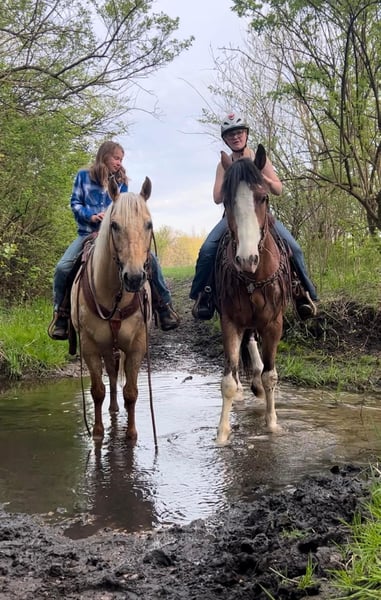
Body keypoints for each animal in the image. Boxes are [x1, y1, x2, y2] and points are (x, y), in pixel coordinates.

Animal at [71, 178, 153, 440]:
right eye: (114, 225)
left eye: (149, 224)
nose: (134, 278)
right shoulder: (89, 347)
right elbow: (97, 390)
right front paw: (97, 432)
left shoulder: (137, 345)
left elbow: (132, 391)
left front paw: (131, 433)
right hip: (107, 347)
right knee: (112, 373)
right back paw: (113, 409)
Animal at [214, 147, 290, 442]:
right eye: (226, 202)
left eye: (264, 197)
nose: (247, 259)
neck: (253, 278)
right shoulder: (230, 321)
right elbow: (227, 381)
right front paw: (222, 435)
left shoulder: (273, 323)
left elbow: (271, 376)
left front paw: (272, 424)